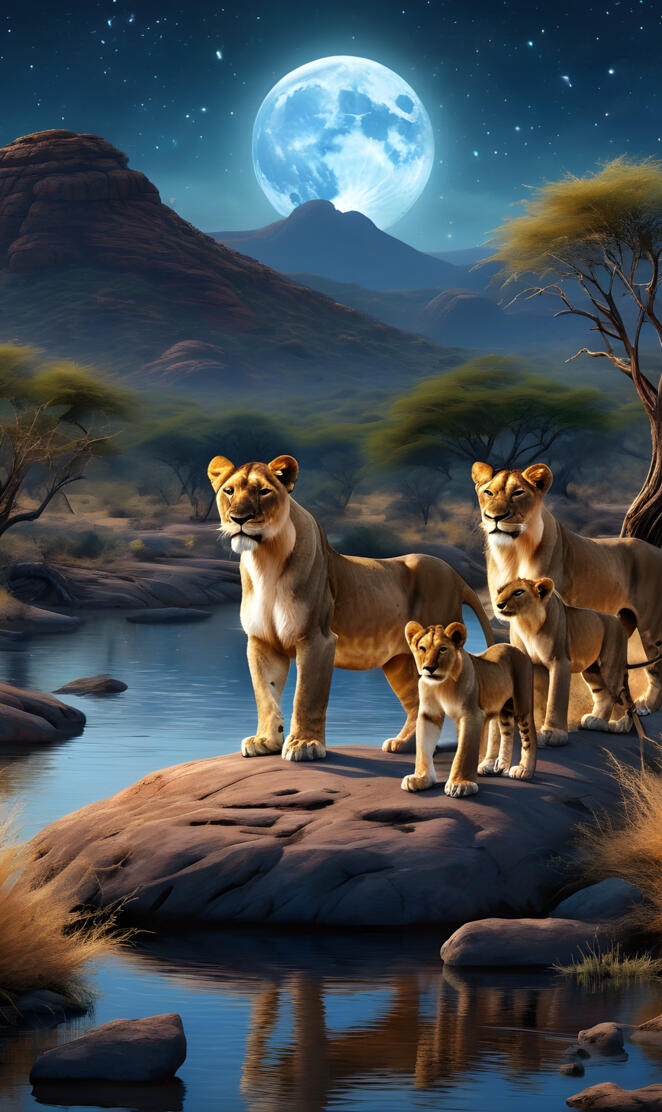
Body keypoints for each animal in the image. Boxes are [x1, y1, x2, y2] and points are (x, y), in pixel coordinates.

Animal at [208, 453, 494, 762]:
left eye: (263, 491)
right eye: (229, 491)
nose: (239, 519)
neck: (265, 558)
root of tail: (455, 575)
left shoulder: (317, 638)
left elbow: (307, 695)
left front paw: (305, 745)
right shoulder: (261, 641)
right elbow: (265, 693)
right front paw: (265, 741)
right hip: (402, 661)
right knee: (416, 702)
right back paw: (406, 744)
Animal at [401, 620, 537, 796]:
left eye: (443, 649)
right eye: (422, 648)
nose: (429, 668)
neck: (442, 684)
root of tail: (513, 647)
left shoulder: (471, 714)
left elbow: (464, 751)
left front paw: (460, 784)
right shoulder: (429, 714)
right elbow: (423, 748)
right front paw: (420, 779)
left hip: (522, 704)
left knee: (528, 735)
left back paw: (524, 770)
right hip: (499, 707)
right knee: (503, 731)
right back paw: (494, 766)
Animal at [472, 460, 662, 715]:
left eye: (518, 493)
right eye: (488, 492)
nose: (494, 517)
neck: (511, 552)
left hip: (652, 626)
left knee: (656, 667)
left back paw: (646, 705)